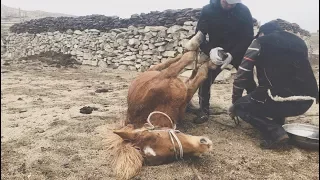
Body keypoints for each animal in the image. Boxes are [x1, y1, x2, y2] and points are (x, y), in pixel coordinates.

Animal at [107, 31, 220, 179]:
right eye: (171, 157)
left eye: (156, 135)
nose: (205, 144)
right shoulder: (187, 90)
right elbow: (201, 73)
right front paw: (208, 62)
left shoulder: (168, 76)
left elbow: (188, 60)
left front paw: (203, 54)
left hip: (157, 69)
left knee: (170, 61)